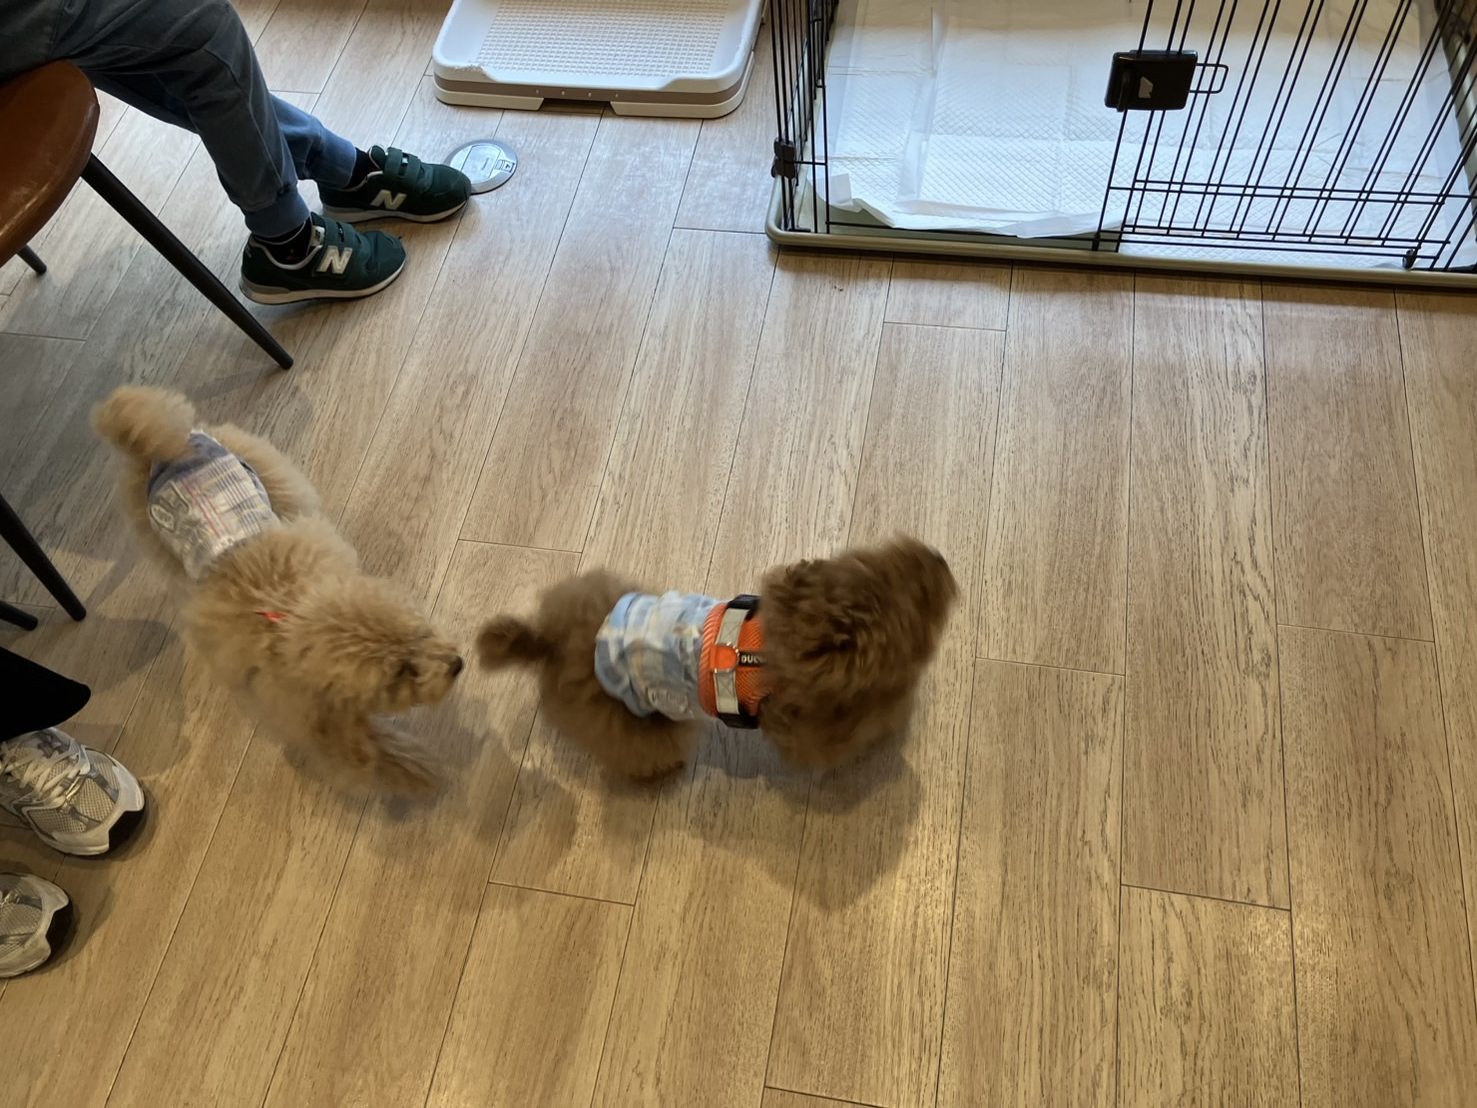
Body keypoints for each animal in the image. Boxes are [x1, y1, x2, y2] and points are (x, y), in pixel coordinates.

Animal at [92, 386, 463, 792]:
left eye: (419, 632)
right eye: (401, 673)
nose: (458, 664)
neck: (285, 617)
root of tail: (153, 448)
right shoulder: (298, 703)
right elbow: (362, 746)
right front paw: (412, 768)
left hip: (266, 471)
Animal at [476, 536, 957, 779]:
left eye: (892, 560)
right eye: (919, 605)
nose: (940, 559)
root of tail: (550, 642)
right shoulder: (809, 731)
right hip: (631, 719)